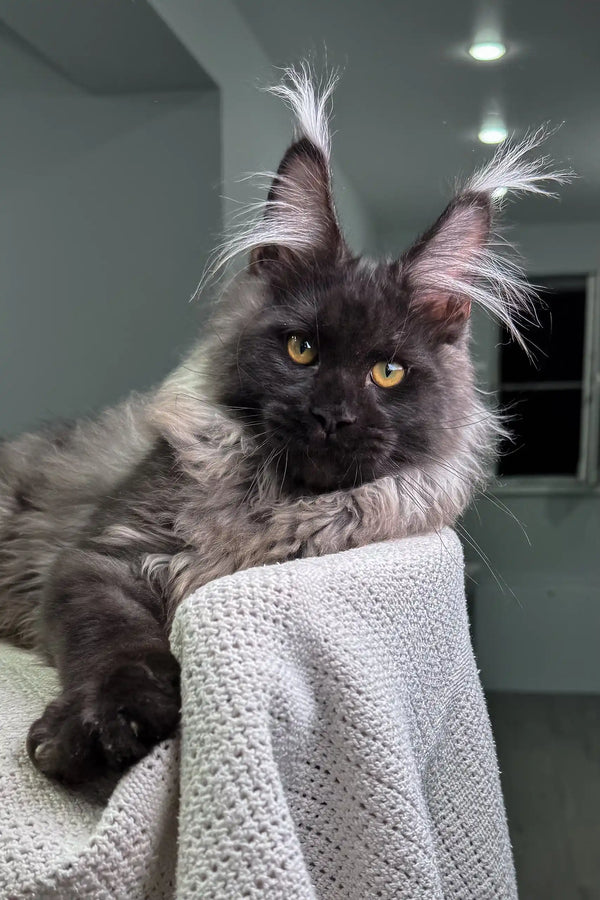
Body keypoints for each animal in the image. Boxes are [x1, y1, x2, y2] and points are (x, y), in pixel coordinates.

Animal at [0, 67, 564, 780]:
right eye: (302, 349)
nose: (331, 416)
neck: (273, 507)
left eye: (388, 372)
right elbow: (118, 641)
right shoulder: (97, 558)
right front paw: (101, 725)